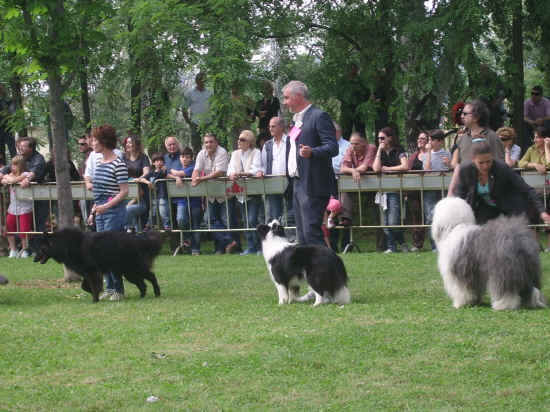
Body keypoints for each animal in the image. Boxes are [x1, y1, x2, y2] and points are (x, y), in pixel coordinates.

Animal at [33, 229, 163, 302]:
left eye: (40, 248)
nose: (34, 259)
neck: (65, 245)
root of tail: (137, 239)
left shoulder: (92, 271)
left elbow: (92, 286)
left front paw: (95, 299)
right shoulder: (87, 273)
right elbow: (84, 286)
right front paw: (96, 294)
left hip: (134, 268)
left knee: (151, 277)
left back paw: (157, 293)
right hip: (129, 272)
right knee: (142, 284)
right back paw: (142, 296)